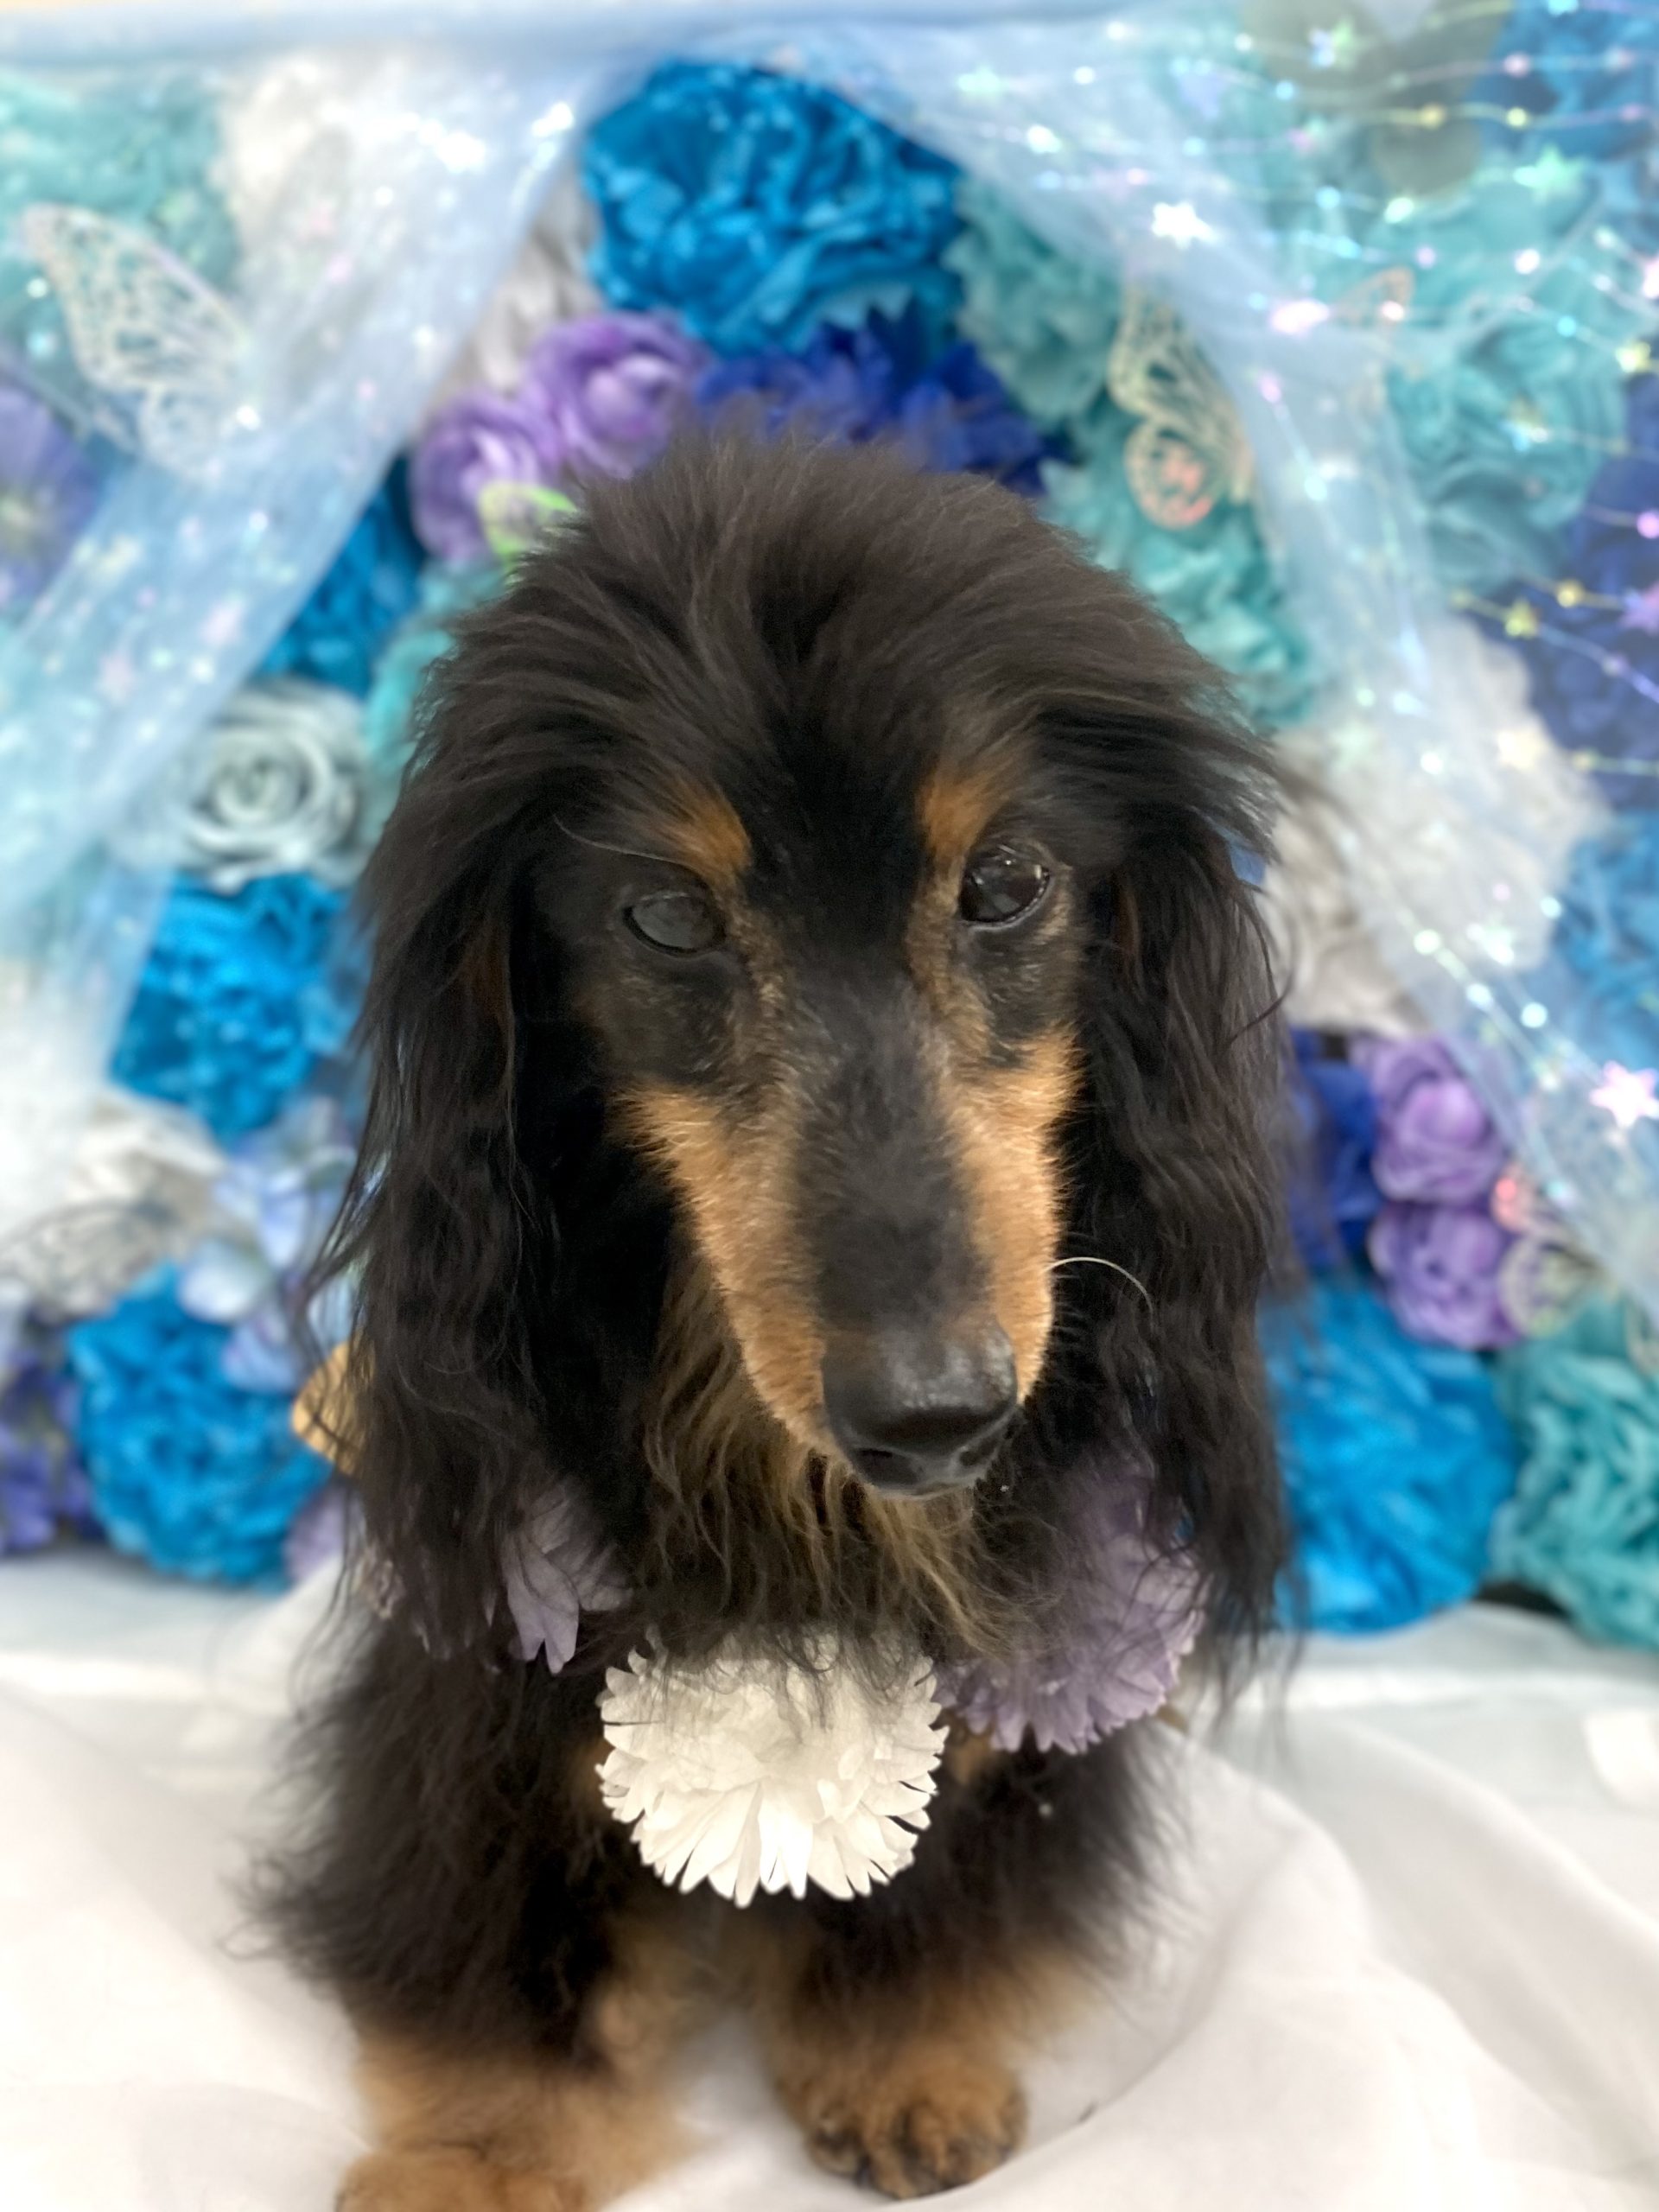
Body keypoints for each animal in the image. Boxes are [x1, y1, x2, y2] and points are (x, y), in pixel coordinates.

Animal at [267, 434, 1287, 2207]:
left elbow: (939, 1868)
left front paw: (901, 2059)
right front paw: (485, 2146)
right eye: (669, 917)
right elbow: (500, 1918)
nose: (934, 1418)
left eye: (1007, 881)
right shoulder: (475, 1679)